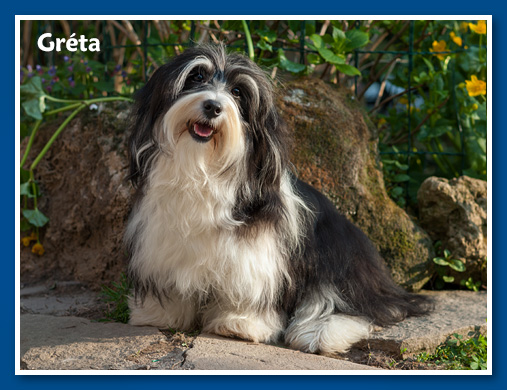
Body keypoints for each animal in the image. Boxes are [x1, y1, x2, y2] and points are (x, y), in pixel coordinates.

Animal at [124, 43, 432, 354]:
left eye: (237, 92)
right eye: (196, 76)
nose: (213, 106)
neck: (202, 170)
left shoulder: (256, 253)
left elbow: (249, 288)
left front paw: (241, 323)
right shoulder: (163, 242)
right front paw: (160, 314)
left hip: (337, 259)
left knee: (350, 305)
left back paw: (321, 332)